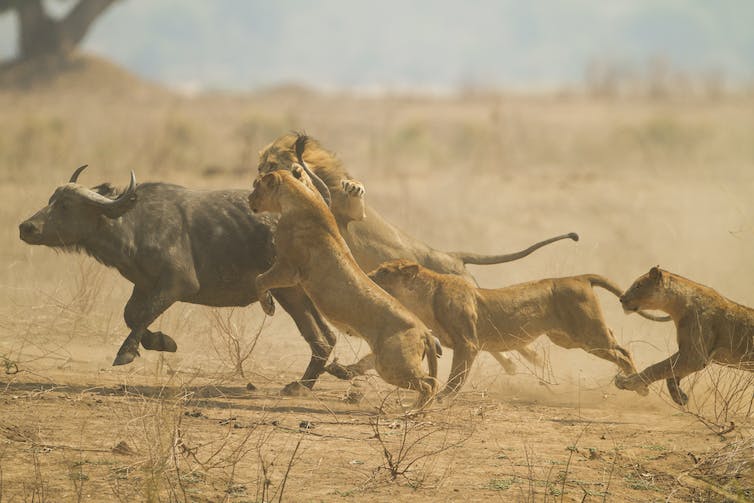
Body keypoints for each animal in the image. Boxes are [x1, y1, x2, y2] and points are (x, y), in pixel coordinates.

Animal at [19, 166, 334, 394]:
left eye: (66, 205)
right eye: (51, 200)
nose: (26, 227)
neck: (133, 225)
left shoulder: (178, 284)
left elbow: (142, 314)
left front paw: (126, 353)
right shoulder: (143, 284)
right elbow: (131, 315)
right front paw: (162, 341)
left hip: (288, 292)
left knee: (320, 337)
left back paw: (302, 385)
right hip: (299, 292)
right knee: (326, 337)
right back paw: (305, 384)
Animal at [247, 169, 440, 410]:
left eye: (257, 185)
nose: (248, 199)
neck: (299, 199)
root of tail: (424, 331)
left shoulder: (288, 268)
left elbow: (259, 280)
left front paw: (268, 306)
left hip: (392, 364)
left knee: (429, 384)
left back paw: (413, 411)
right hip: (387, 359)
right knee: (428, 381)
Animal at [258, 131, 576, 390]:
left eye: (270, 163)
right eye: (262, 165)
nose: (257, 175)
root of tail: (452, 256)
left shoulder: (352, 216)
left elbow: (353, 201)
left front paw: (352, 186)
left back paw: (532, 360)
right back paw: (515, 363)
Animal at [338, 260, 668, 398]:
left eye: (382, 272)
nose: (365, 276)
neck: (423, 298)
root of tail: (578, 277)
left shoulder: (468, 343)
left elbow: (457, 376)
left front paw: (444, 397)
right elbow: (370, 360)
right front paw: (345, 370)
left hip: (588, 335)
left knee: (622, 351)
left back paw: (638, 387)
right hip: (567, 339)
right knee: (618, 346)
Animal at [612, 268, 748, 406]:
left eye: (638, 285)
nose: (621, 299)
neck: (677, 307)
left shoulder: (694, 357)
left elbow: (656, 368)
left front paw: (626, 382)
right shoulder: (687, 353)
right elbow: (670, 373)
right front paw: (680, 397)